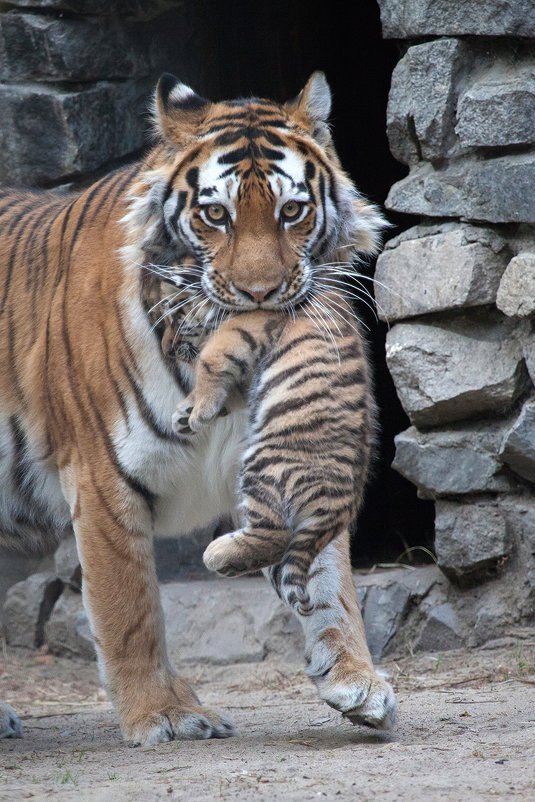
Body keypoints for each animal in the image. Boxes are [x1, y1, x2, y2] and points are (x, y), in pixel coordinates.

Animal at [1, 72, 398, 740]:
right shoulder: (103, 480)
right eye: (216, 215)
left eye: (292, 211)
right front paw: (163, 713)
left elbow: (327, 577)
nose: (260, 295)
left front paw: (354, 676)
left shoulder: (283, 459)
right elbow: (129, 608)